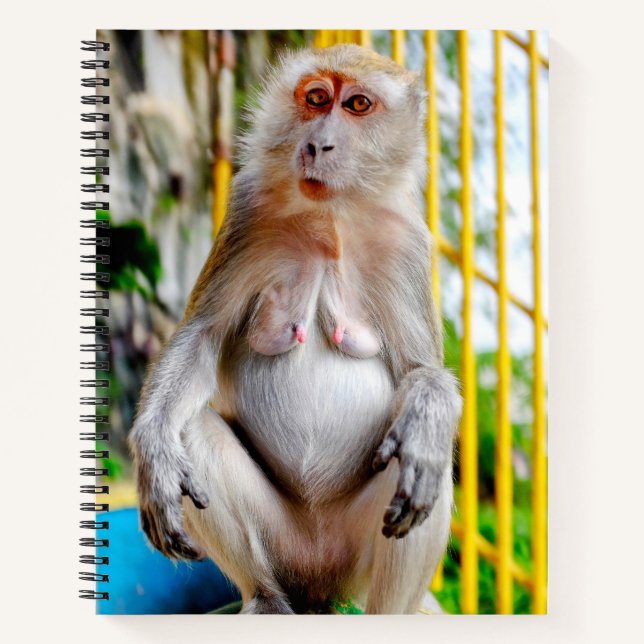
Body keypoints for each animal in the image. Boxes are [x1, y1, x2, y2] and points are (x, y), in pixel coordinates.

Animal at [129, 44, 462, 614]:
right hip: (283, 545)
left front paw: (428, 413)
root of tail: (319, 585)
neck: (330, 216)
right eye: (316, 98)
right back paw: (265, 597)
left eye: (356, 104)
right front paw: (154, 451)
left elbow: (420, 373)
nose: (316, 143)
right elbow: (202, 336)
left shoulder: (409, 243)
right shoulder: (247, 208)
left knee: (424, 467)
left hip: (353, 561)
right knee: (192, 429)